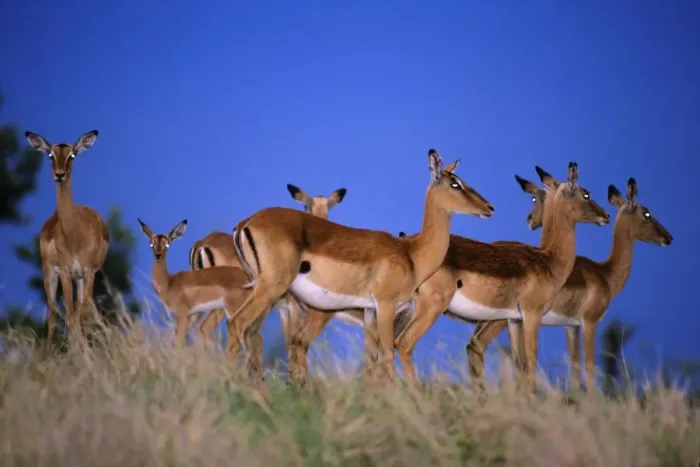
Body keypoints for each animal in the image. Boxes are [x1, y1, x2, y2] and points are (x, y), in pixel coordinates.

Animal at [25, 130, 109, 350]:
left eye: (72, 155)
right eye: (50, 155)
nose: (59, 175)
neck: (75, 236)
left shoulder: (88, 272)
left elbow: (81, 315)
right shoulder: (64, 271)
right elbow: (70, 316)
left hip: (79, 278)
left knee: (79, 313)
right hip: (50, 275)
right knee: (53, 315)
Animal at [228, 149, 496, 381]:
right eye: (455, 183)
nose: (489, 207)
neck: (411, 254)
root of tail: (246, 222)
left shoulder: (369, 311)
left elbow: (373, 359)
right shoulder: (386, 306)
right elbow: (387, 354)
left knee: (252, 334)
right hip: (271, 289)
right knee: (237, 323)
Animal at [394, 162, 611, 392]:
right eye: (586, 194)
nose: (605, 215)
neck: (548, 260)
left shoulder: (513, 320)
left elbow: (520, 364)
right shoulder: (532, 315)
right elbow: (531, 363)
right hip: (430, 308)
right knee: (404, 344)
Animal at [466, 176, 673, 390]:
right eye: (647, 213)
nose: (668, 237)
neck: (605, 273)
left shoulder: (570, 325)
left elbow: (574, 366)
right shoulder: (589, 322)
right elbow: (589, 367)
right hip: (500, 319)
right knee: (480, 345)